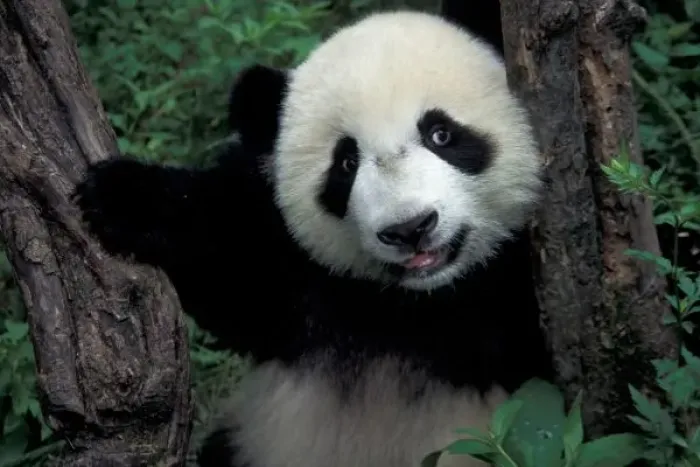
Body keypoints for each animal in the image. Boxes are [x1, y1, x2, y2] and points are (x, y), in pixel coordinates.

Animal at [75, 8, 554, 467]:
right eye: (346, 162)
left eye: (441, 134)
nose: (410, 228)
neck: (415, 302)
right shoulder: (295, 269)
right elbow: (229, 261)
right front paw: (121, 194)